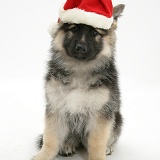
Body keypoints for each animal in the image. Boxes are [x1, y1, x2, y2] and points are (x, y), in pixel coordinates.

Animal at [32, 3, 125, 160]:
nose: (81, 48)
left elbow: (97, 142)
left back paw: (107, 147)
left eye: (94, 33)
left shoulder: (100, 114)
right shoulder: (56, 108)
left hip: (117, 119)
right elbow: (50, 138)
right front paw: (43, 155)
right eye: (74, 29)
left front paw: (99, 156)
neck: (79, 69)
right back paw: (67, 145)